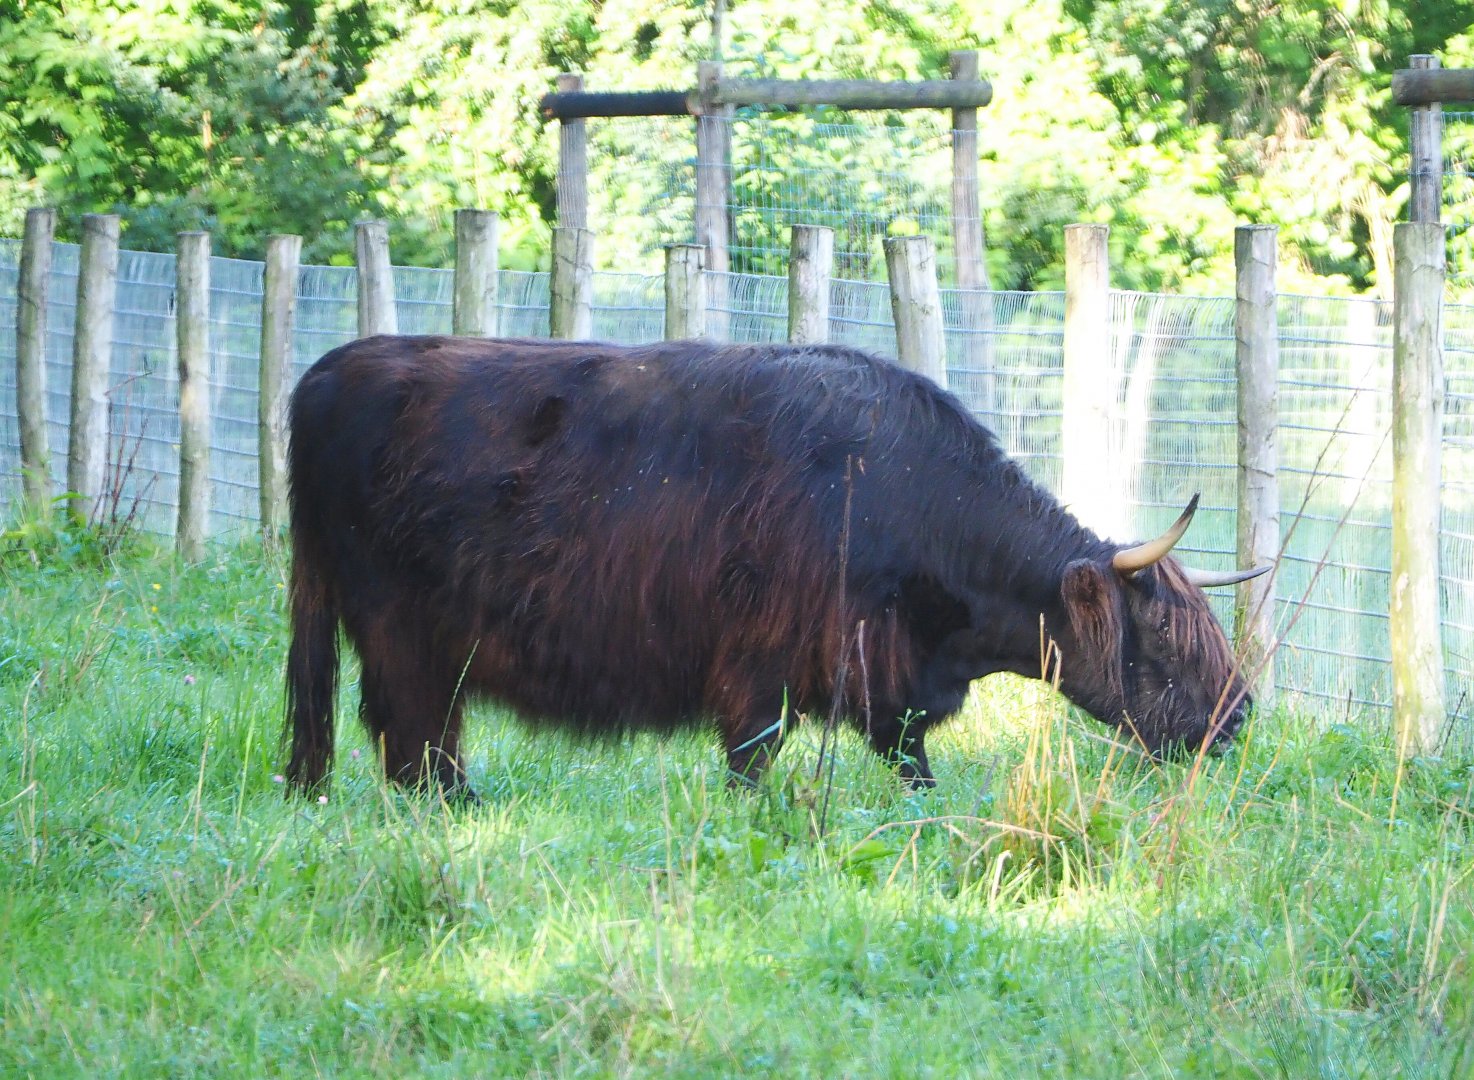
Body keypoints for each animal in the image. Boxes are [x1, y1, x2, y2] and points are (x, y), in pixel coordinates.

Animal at [284, 335, 1267, 800]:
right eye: (1162, 637)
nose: (1239, 717)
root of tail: (327, 372)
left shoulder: (884, 682)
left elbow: (912, 767)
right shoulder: (764, 663)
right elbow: (752, 762)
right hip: (400, 626)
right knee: (411, 732)